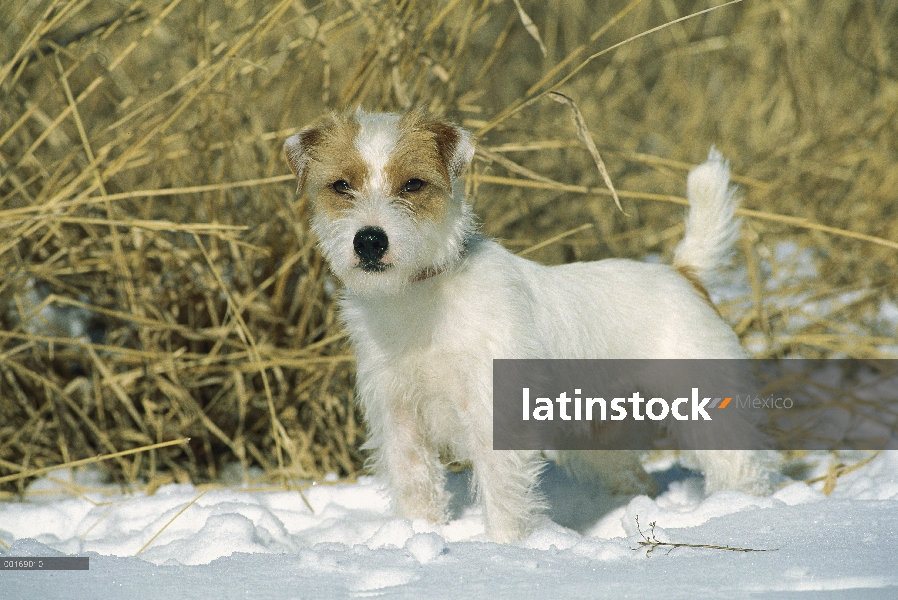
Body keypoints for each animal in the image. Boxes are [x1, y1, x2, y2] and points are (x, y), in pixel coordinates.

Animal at [286, 109, 768, 544]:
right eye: (341, 185)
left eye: (413, 184)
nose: (369, 240)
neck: (419, 295)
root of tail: (683, 274)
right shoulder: (400, 419)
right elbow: (416, 488)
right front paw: (419, 536)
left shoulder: (493, 418)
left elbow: (503, 498)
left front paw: (506, 551)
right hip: (600, 440)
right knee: (636, 480)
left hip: (707, 411)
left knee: (740, 468)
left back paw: (740, 512)